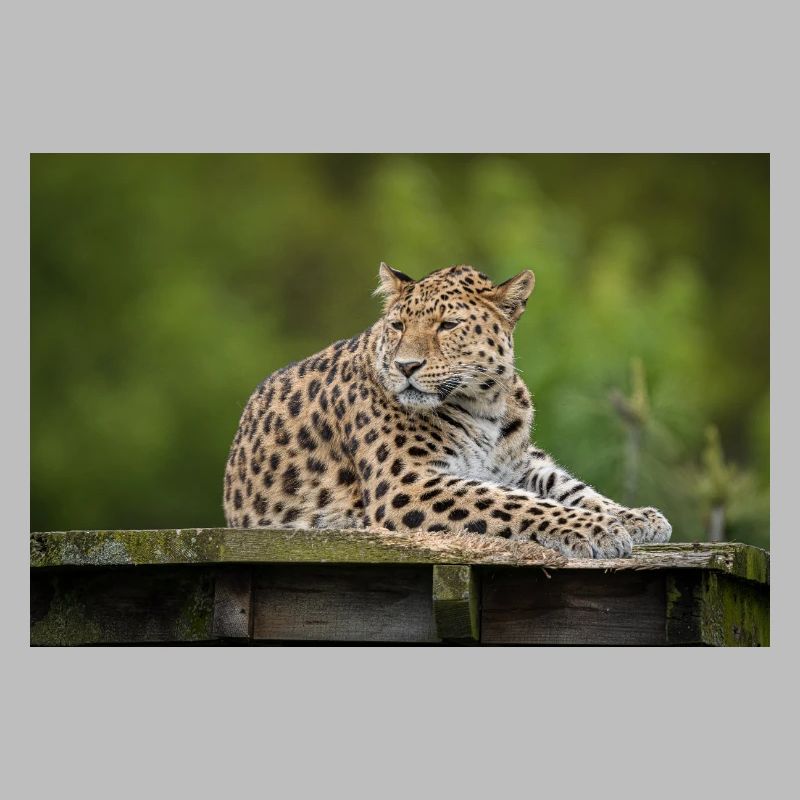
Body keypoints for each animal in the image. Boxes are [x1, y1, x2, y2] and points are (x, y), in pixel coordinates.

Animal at [223, 263, 672, 559]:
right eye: (398, 326)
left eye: (448, 325)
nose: (406, 366)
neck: (487, 404)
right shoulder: (406, 483)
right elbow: (514, 502)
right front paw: (599, 529)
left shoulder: (518, 462)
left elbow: (567, 487)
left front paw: (635, 517)